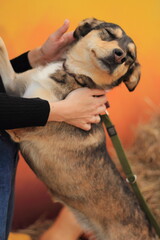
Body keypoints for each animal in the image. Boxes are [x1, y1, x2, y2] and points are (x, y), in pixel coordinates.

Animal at [0, 17, 155, 239]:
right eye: (109, 33)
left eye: (130, 57)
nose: (120, 55)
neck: (74, 74)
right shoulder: (13, 85)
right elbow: (3, 51)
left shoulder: (27, 119)